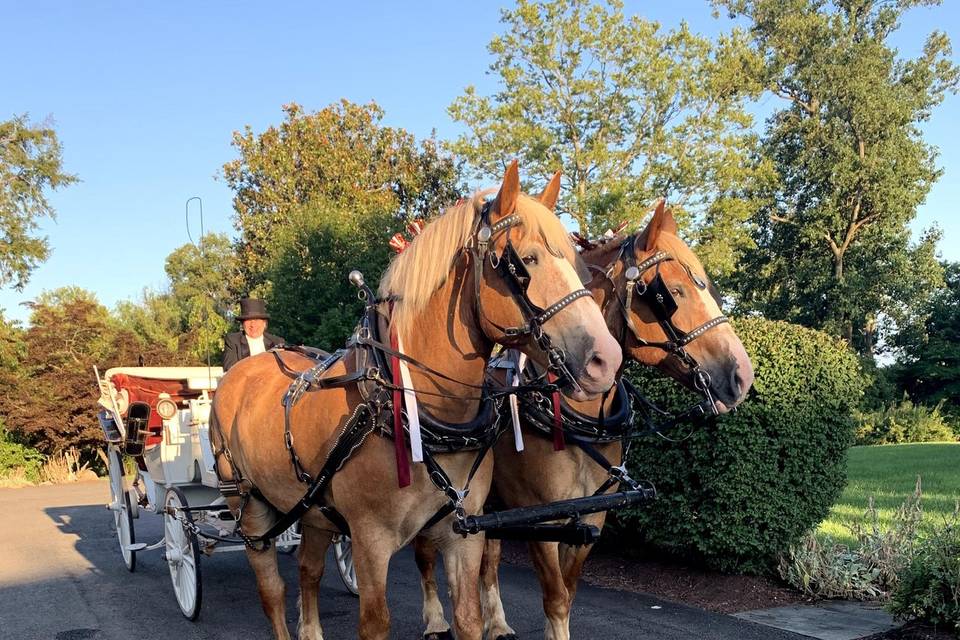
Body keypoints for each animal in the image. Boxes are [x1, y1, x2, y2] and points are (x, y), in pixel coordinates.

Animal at [210, 161, 624, 640]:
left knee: (308, 572)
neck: (412, 407)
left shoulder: (464, 533)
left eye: (577, 264)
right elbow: (375, 623)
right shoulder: (369, 541)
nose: (606, 360)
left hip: (312, 512)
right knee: (273, 591)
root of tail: (241, 373)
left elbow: (469, 618)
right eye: (526, 261)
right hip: (250, 509)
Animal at [416, 198, 752, 636]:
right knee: (424, 552)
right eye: (671, 294)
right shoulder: (541, 518)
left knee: (489, 558)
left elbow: (569, 592)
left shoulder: (591, 516)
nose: (742, 375)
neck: (576, 415)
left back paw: (498, 622)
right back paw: (435, 619)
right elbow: (556, 598)